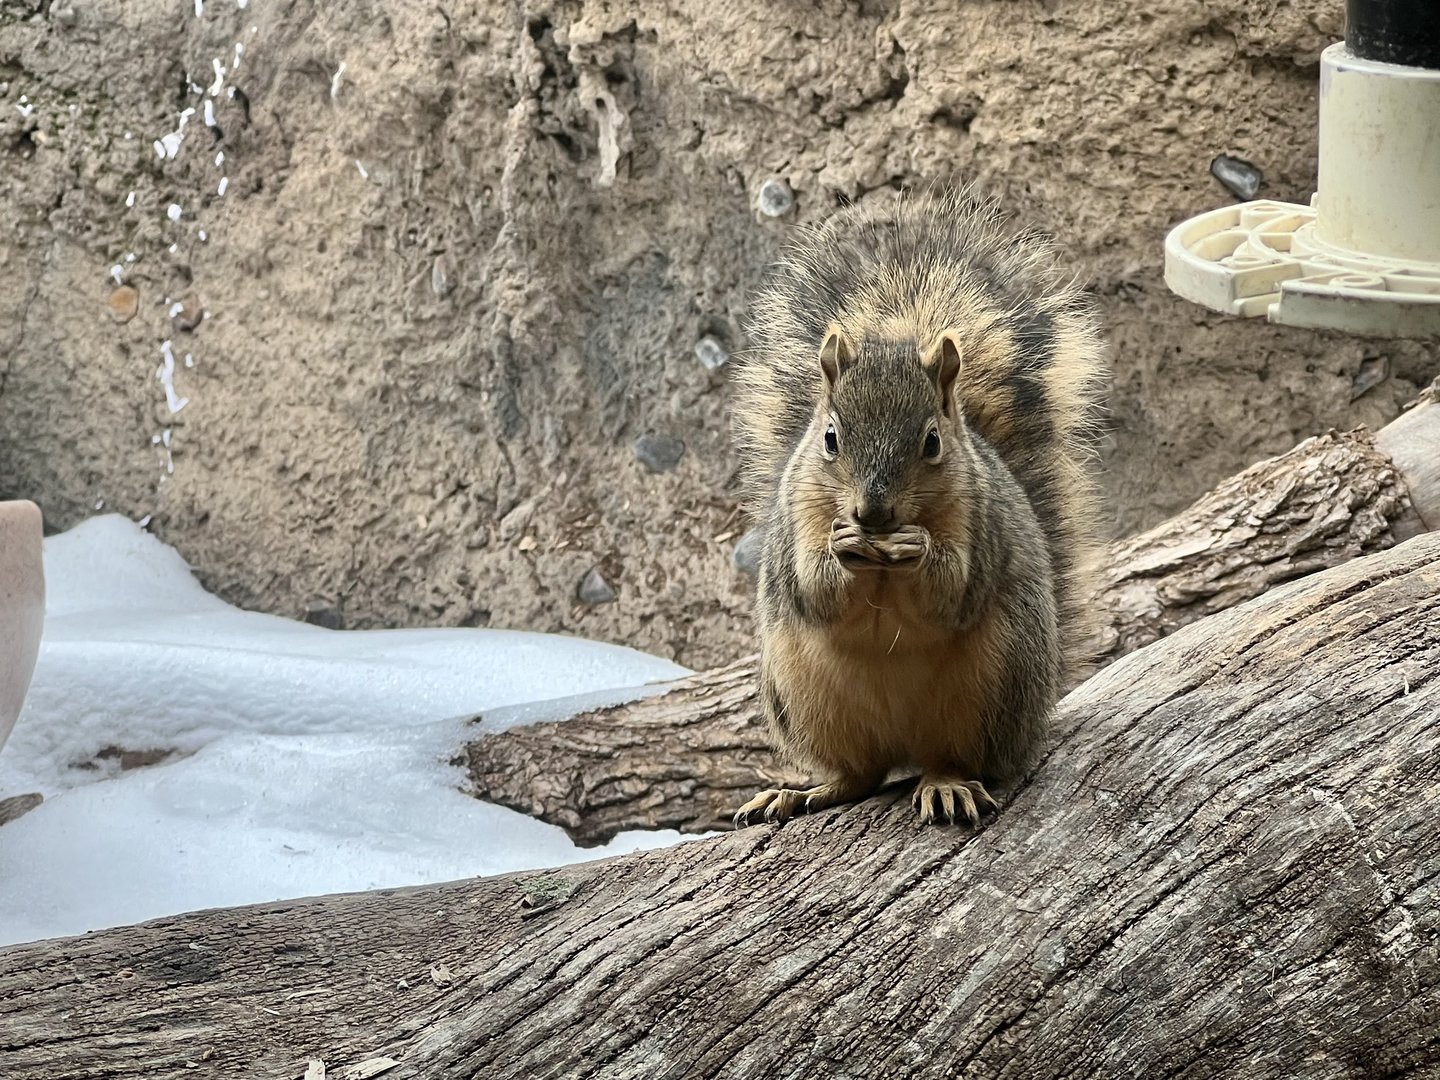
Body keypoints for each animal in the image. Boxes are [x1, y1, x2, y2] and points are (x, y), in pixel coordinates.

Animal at [730, 188, 1108, 827]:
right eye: (830, 437)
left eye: (932, 442)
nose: (873, 514)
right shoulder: (797, 519)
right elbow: (813, 588)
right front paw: (842, 547)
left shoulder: (980, 523)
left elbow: (952, 593)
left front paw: (918, 549)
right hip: (804, 697)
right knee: (857, 775)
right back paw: (800, 793)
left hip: (991, 690)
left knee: (949, 759)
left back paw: (946, 785)